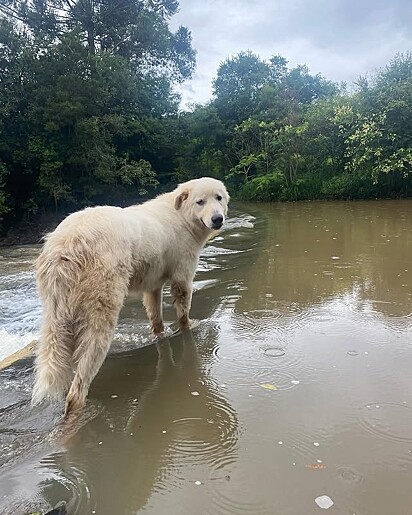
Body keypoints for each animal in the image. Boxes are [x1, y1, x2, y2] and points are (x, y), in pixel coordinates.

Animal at [32, 177, 230, 416]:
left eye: (219, 198)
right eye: (200, 202)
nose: (217, 218)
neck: (181, 216)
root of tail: (67, 243)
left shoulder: (153, 286)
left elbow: (156, 318)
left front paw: (160, 336)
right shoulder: (182, 277)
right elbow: (183, 313)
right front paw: (189, 326)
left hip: (57, 316)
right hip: (101, 313)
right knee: (78, 388)